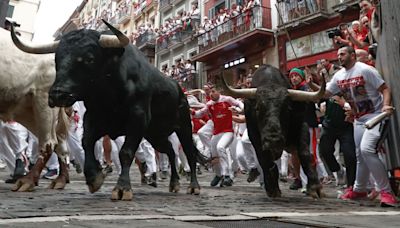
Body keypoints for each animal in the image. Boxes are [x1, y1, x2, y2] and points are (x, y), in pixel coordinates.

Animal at [10, 20, 205, 200]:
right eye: (57, 59)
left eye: (89, 58)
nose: (58, 94)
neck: (109, 92)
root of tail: (180, 91)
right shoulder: (94, 118)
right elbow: (86, 143)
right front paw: (94, 178)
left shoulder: (137, 118)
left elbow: (126, 152)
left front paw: (122, 188)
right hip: (155, 134)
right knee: (170, 151)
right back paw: (174, 183)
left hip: (183, 127)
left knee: (189, 153)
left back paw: (193, 186)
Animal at [222, 64, 324, 198]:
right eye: (258, 108)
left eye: (288, 108)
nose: (273, 140)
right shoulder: (255, 138)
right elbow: (265, 160)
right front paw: (272, 188)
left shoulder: (301, 126)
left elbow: (305, 154)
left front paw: (314, 187)